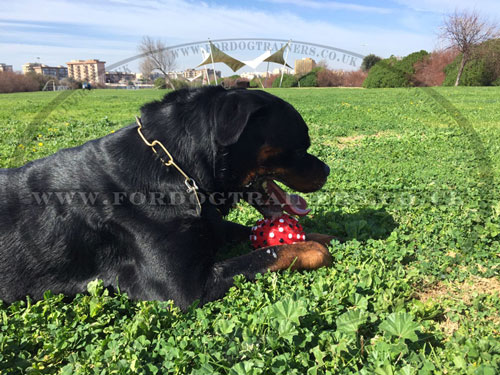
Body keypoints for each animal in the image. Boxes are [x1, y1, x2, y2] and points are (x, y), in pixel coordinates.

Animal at [1, 86, 334, 310]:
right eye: (301, 146)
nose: (327, 170)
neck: (176, 168)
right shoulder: (185, 289)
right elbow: (270, 253)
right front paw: (315, 248)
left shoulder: (209, 225)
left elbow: (253, 235)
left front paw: (322, 235)